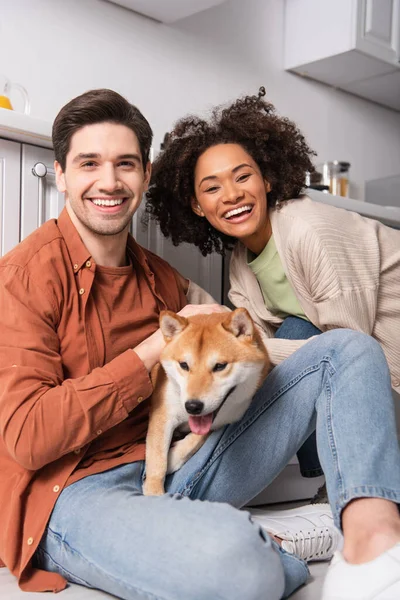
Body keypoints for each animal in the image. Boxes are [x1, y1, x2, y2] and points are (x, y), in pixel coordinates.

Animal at [142, 308, 270, 494]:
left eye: (220, 366)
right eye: (184, 365)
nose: (192, 406)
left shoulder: (221, 420)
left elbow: (196, 439)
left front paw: (174, 457)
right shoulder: (162, 415)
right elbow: (157, 459)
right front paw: (154, 492)